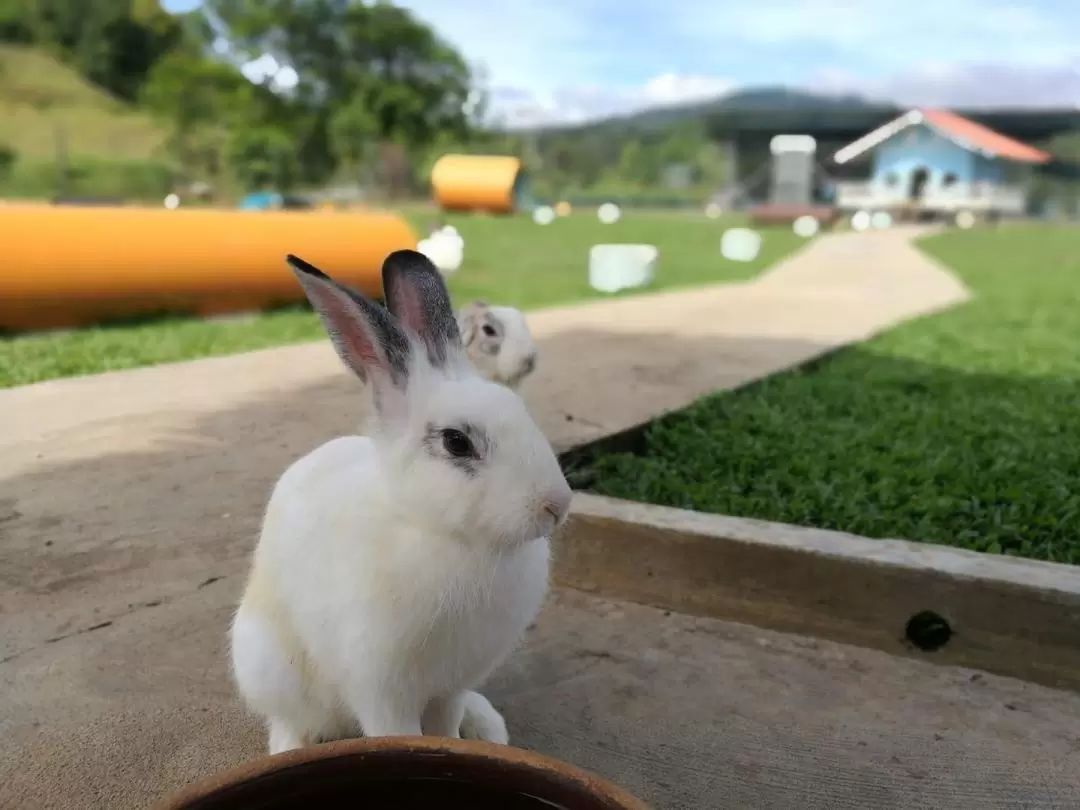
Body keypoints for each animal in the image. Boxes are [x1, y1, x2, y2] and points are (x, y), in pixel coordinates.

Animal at [230, 249, 574, 756]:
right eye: (456, 442)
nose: (556, 505)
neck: (439, 532)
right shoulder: (381, 689)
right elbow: (397, 733)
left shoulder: (450, 687)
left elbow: (446, 725)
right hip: (268, 668)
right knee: (288, 720)